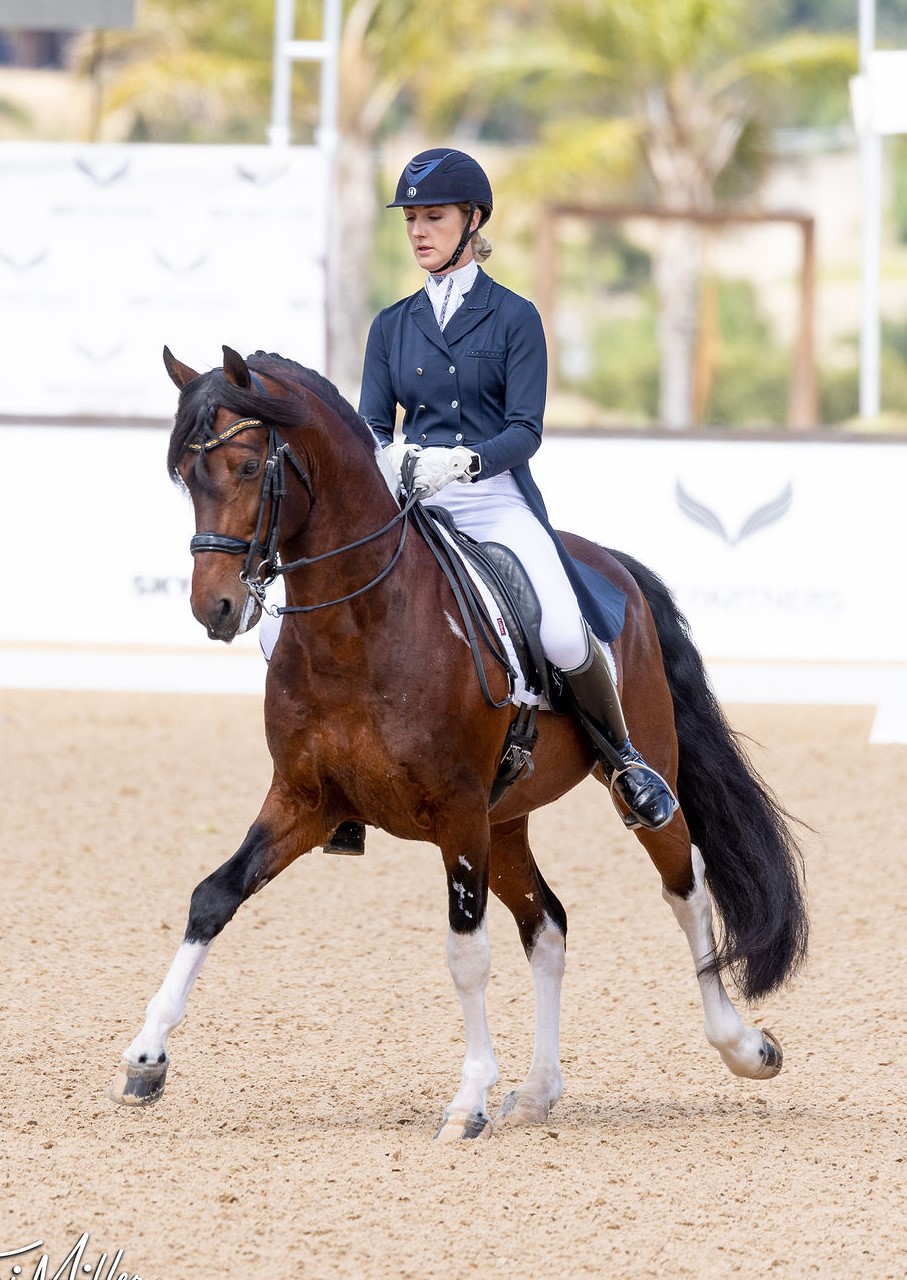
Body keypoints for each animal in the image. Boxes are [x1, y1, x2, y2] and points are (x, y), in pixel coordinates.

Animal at [109, 345, 808, 1136]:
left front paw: (468, 1098)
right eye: (184, 475)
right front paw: (146, 1057)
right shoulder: (305, 800)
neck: (358, 627)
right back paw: (537, 1091)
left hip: (625, 775)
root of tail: (608, 562)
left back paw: (743, 1047)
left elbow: (465, 952)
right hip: (504, 820)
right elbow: (213, 897)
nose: (216, 608)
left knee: (683, 886)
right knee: (547, 925)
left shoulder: (455, 811)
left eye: (251, 465)